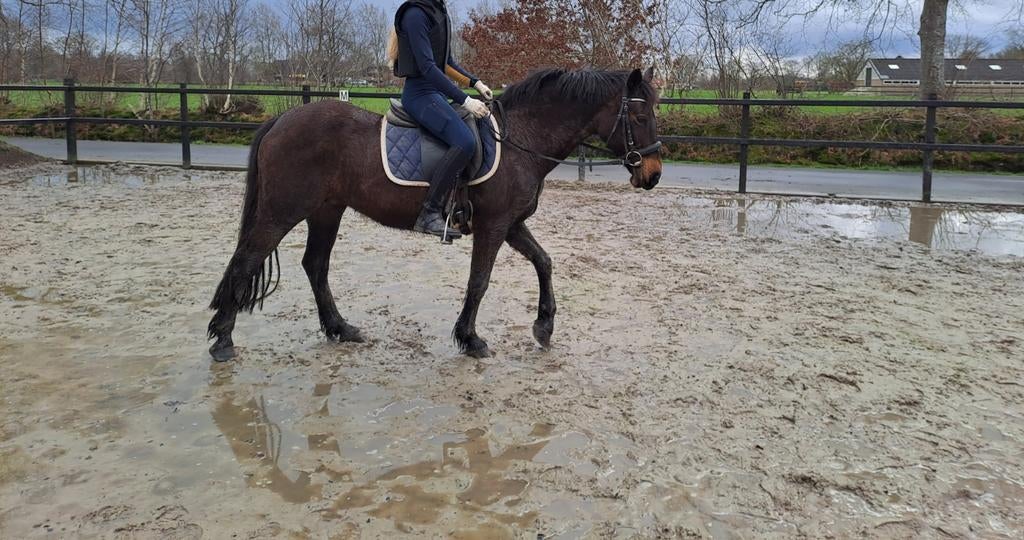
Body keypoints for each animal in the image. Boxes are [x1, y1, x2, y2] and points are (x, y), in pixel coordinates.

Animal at [207, 67, 662, 361]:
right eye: (640, 115)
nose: (654, 174)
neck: (521, 139)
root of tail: (283, 118)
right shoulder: (494, 226)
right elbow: (479, 281)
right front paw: (470, 339)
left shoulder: (512, 224)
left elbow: (544, 262)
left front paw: (544, 327)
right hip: (282, 211)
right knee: (246, 261)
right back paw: (223, 341)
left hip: (326, 211)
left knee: (315, 265)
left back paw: (340, 328)